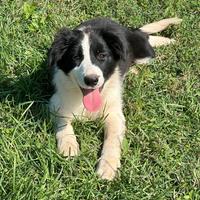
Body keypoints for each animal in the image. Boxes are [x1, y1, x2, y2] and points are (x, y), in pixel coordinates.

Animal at [48, 16, 181, 180]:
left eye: (102, 56)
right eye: (76, 58)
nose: (91, 80)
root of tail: (126, 29)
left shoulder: (114, 114)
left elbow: (112, 139)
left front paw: (107, 166)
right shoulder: (56, 102)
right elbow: (63, 122)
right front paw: (68, 145)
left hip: (144, 54)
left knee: (146, 38)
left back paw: (167, 40)